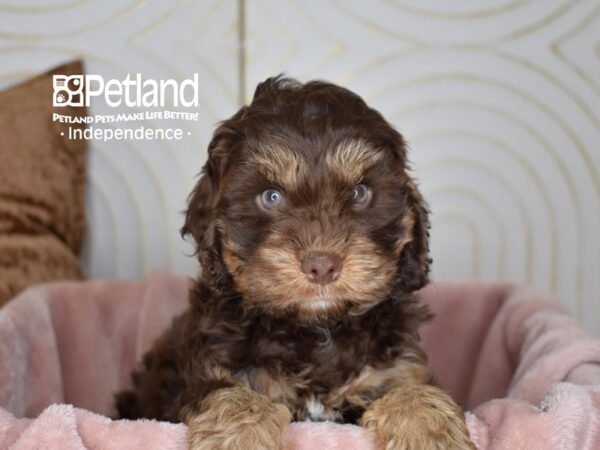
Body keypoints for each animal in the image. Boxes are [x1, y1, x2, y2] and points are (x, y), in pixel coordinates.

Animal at [115, 77, 476, 450]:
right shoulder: (213, 369)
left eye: (360, 193)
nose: (322, 265)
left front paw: (429, 431)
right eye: (271, 197)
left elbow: (413, 390)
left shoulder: (394, 368)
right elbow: (234, 395)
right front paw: (239, 437)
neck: (316, 328)